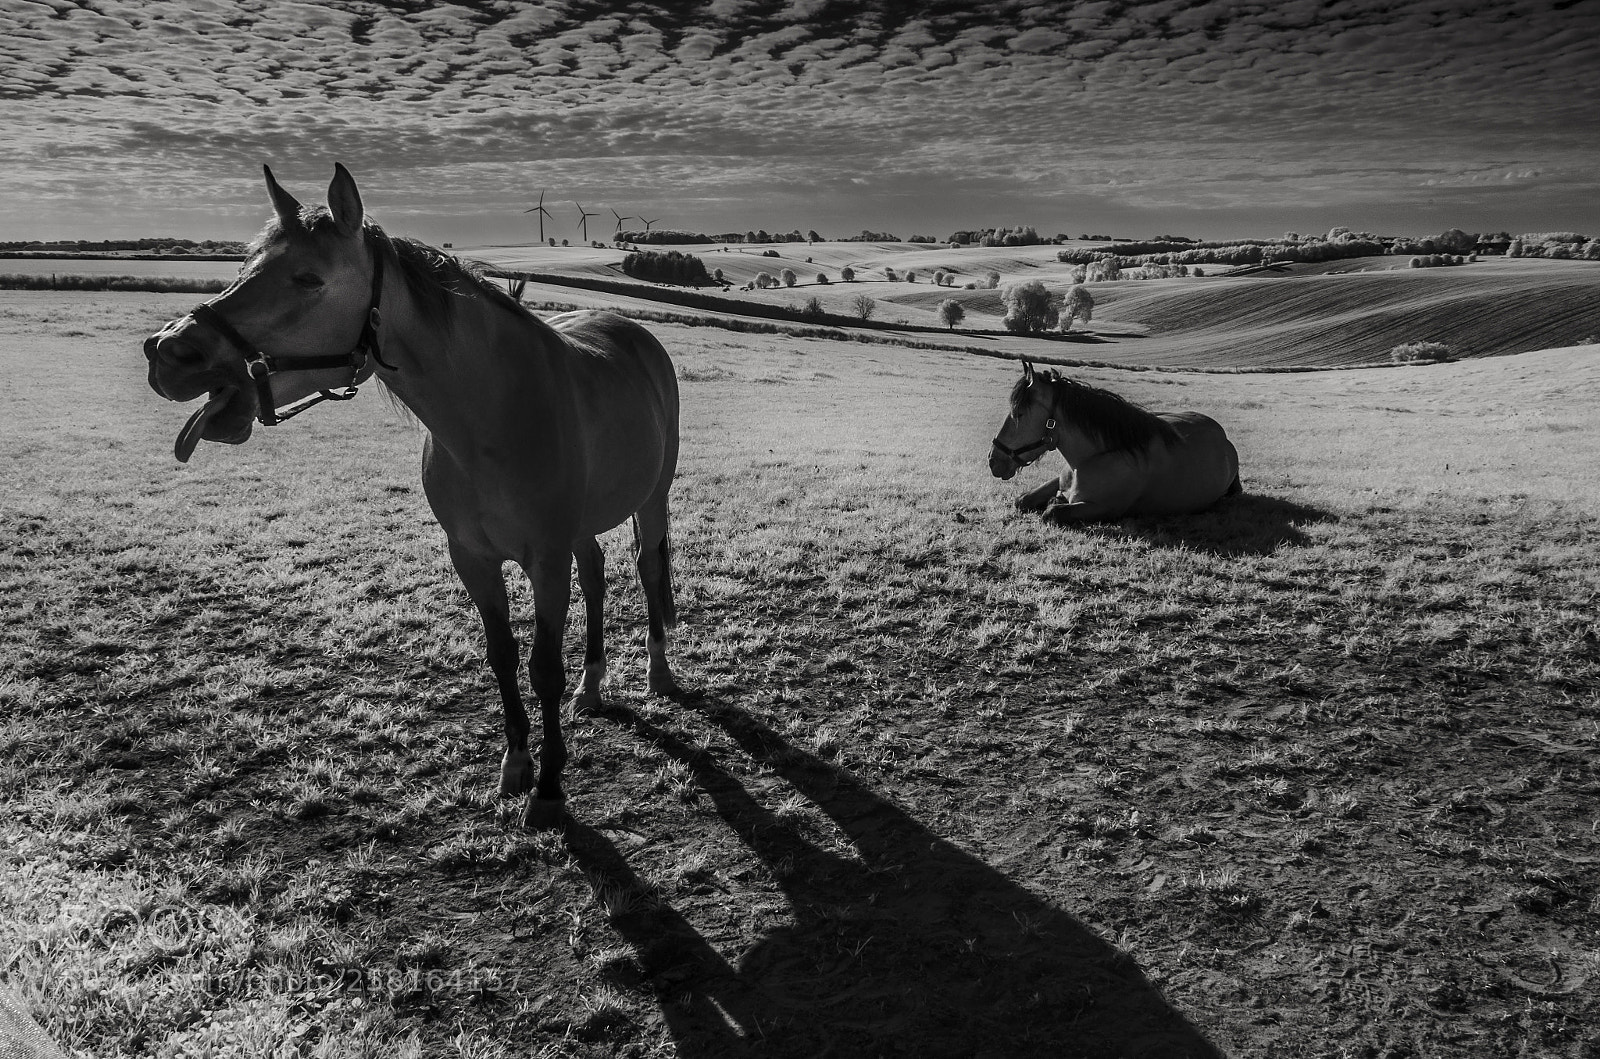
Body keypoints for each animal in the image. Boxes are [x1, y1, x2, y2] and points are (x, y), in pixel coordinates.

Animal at [143, 164, 681, 827]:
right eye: (247, 265)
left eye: (307, 278)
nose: (169, 352)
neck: (491, 417)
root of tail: (635, 335)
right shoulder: (472, 557)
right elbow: (503, 656)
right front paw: (517, 764)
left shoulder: (546, 560)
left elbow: (543, 669)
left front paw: (551, 789)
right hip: (582, 528)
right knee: (599, 574)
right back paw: (593, 685)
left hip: (651, 500)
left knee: (648, 567)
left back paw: (658, 671)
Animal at [989, 360, 1240, 522]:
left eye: (1019, 413)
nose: (993, 460)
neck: (1098, 455)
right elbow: (1022, 499)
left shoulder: (1104, 509)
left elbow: (1051, 512)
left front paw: (1054, 502)